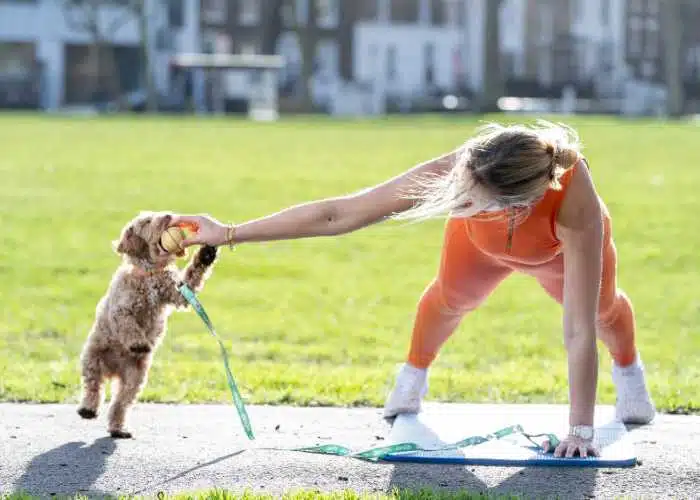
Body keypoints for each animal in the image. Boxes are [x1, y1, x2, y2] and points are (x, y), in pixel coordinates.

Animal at [77, 211, 217, 438]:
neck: (150, 272)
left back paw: (118, 428)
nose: (169, 215)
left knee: (121, 403)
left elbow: (193, 275)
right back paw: (88, 409)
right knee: (93, 386)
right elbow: (130, 325)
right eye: (147, 222)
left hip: (135, 378)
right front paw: (139, 344)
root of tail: (114, 369)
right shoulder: (121, 310)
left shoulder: (178, 292)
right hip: (93, 359)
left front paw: (205, 254)